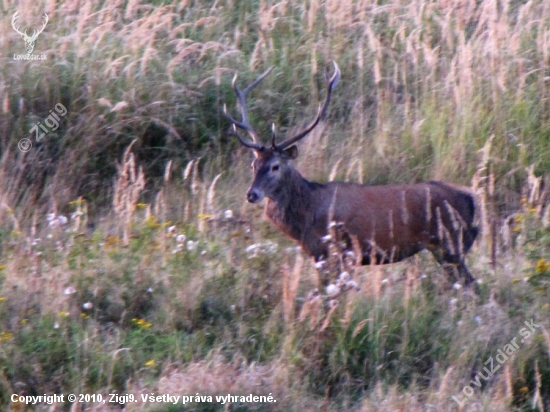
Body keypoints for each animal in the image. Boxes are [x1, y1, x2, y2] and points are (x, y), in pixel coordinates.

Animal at [226, 62, 480, 292]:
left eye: (275, 166)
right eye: (253, 164)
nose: (251, 194)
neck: (308, 213)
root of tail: (473, 201)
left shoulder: (339, 251)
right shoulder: (319, 255)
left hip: (450, 244)